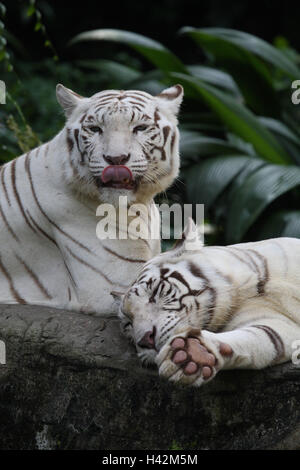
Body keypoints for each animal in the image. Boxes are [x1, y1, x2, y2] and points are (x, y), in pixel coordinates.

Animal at [115, 219, 300, 386]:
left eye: (154, 293)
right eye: (128, 324)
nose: (145, 340)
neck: (245, 287)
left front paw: (193, 353)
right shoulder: (275, 321)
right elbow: (263, 336)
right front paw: (194, 354)